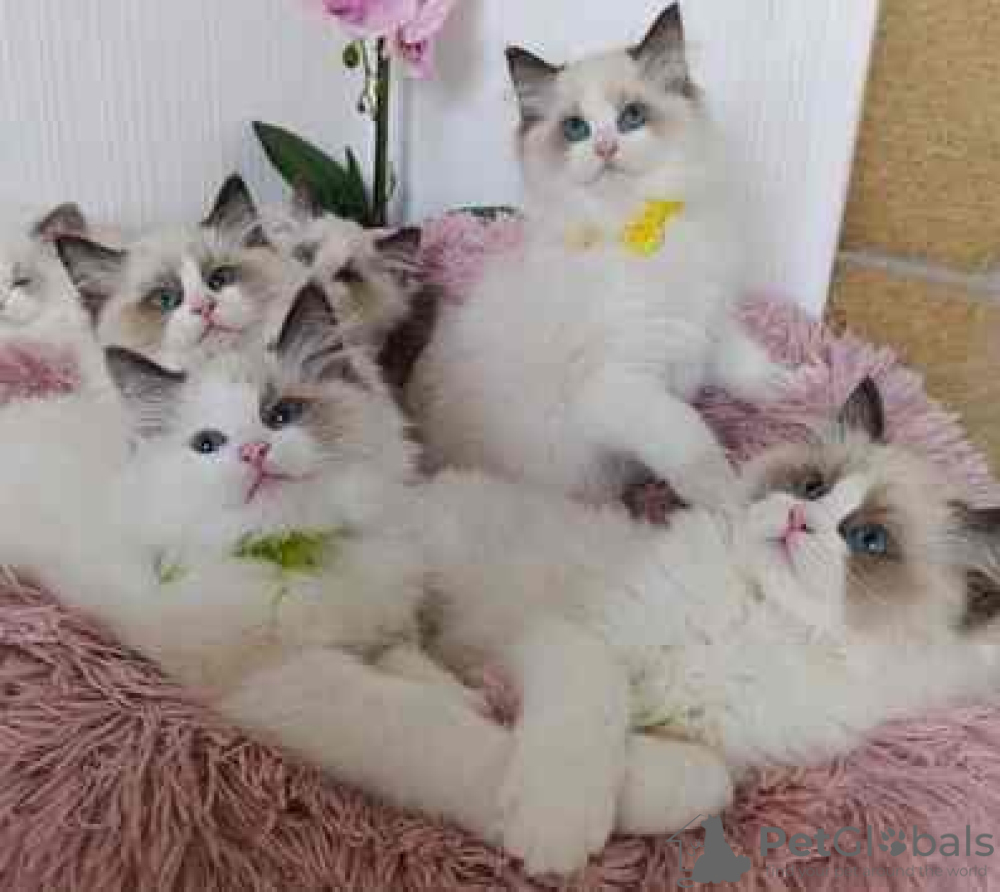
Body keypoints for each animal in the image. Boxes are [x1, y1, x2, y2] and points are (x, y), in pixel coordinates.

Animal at [0, 279, 727, 864]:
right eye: (207, 445)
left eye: (282, 414)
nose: (255, 452)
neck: (302, 550)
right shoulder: (289, 681)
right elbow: (446, 735)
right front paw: (650, 793)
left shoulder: (382, 621)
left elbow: (422, 670)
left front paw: (473, 695)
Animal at [408, 4, 791, 508]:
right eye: (576, 129)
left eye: (632, 117)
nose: (605, 147)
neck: (639, 229)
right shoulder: (620, 385)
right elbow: (691, 437)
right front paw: (732, 503)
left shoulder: (706, 318)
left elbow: (741, 358)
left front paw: (790, 387)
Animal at [411, 378, 1000, 873]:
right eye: (812, 487)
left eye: (869, 540)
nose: (797, 519)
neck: (755, 616)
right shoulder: (579, 634)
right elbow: (593, 710)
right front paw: (554, 825)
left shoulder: (727, 753)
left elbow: (706, 783)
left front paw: (630, 778)